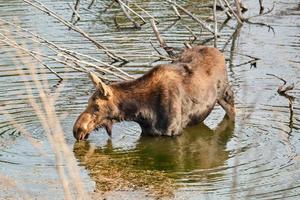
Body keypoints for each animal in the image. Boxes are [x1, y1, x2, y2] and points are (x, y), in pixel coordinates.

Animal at [72, 46, 234, 141]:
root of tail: (219, 52)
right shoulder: (148, 133)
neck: (140, 111)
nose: (77, 130)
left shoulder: (173, 133)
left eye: (97, 107)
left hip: (226, 94)